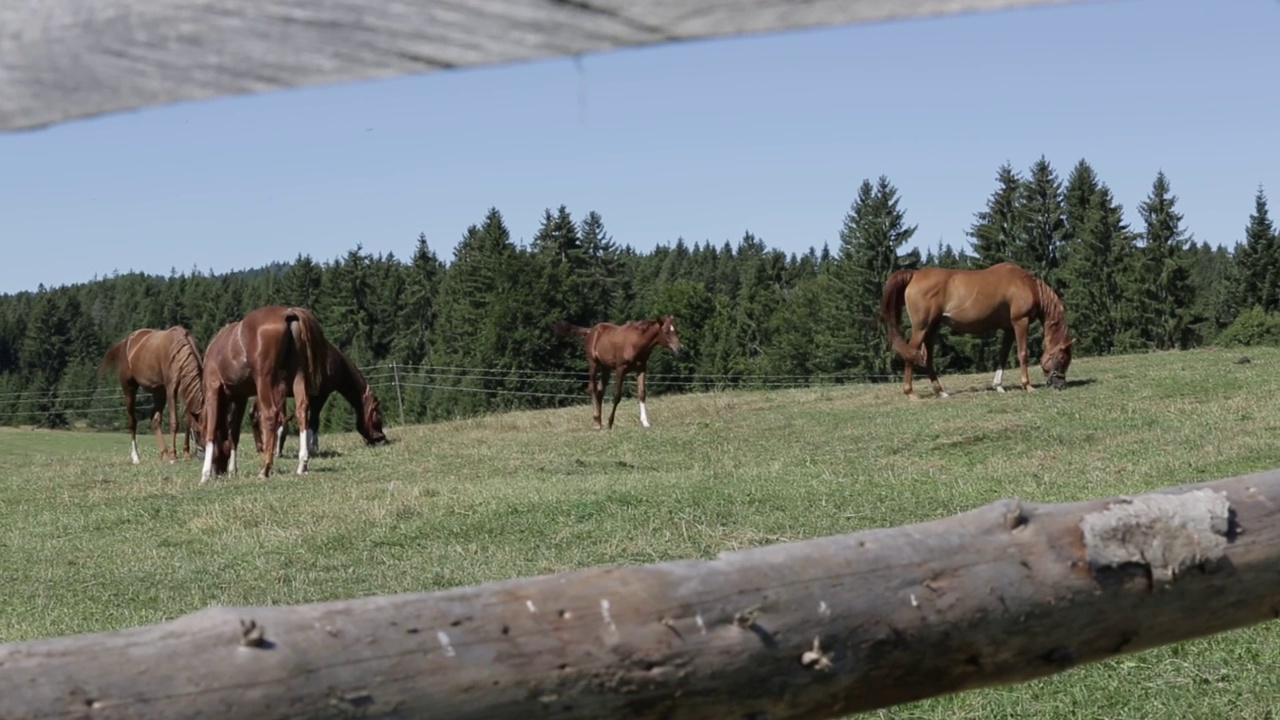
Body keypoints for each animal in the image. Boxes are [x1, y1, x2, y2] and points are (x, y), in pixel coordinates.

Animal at [97, 324, 203, 458]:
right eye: (198, 432)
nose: (202, 454)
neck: (179, 351)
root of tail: (125, 341)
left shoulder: (183, 390)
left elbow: (188, 420)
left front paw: (186, 454)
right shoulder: (171, 389)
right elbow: (174, 422)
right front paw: (173, 455)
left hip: (159, 392)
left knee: (155, 420)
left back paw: (164, 453)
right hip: (129, 388)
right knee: (132, 421)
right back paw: (136, 456)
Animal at [199, 303, 330, 481]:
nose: (219, 471)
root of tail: (288, 313)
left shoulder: (213, 389)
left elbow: (212, 430)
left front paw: (205, 474)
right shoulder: (240, 397)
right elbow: (234, 434)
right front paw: (233, 469)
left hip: (264, 379)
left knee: (270, 414)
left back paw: (264, 468)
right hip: (298, 373)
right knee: (302, 410)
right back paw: (302, 463)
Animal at [247, 338, 386, 453]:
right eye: (378, 417)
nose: (382, 439)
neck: (333, 361)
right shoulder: (320, 395)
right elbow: (314, 421)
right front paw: (312, 447)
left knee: (254, 415)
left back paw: (261, 446)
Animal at [555, 312, 686, 425]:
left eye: (675, 330)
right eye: (666, 331)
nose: (679, 349)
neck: (636, 343)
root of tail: (590, 331)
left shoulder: (641, 368)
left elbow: (642, 393)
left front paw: (645, 422)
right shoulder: (620, 369)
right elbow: (617, 395)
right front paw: (610, 422)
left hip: (605, 368)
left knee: (600, 390)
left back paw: (600, 422)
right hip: (593, 363)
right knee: (592, 387)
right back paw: (597, 418)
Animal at [875, 262, 1075, 397]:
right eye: (1062, 358)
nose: (1061, 385)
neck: (1027, 285)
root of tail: (914, 275)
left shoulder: (1009, 328)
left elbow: (1002, 356)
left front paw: (998, 385)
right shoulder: (1020, 322)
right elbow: (1022, 353)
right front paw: (1028, 385)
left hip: (932, 328)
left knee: (927, 358)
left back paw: (941, 392)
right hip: (922, 328)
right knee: (911, 354)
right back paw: (910, 392)